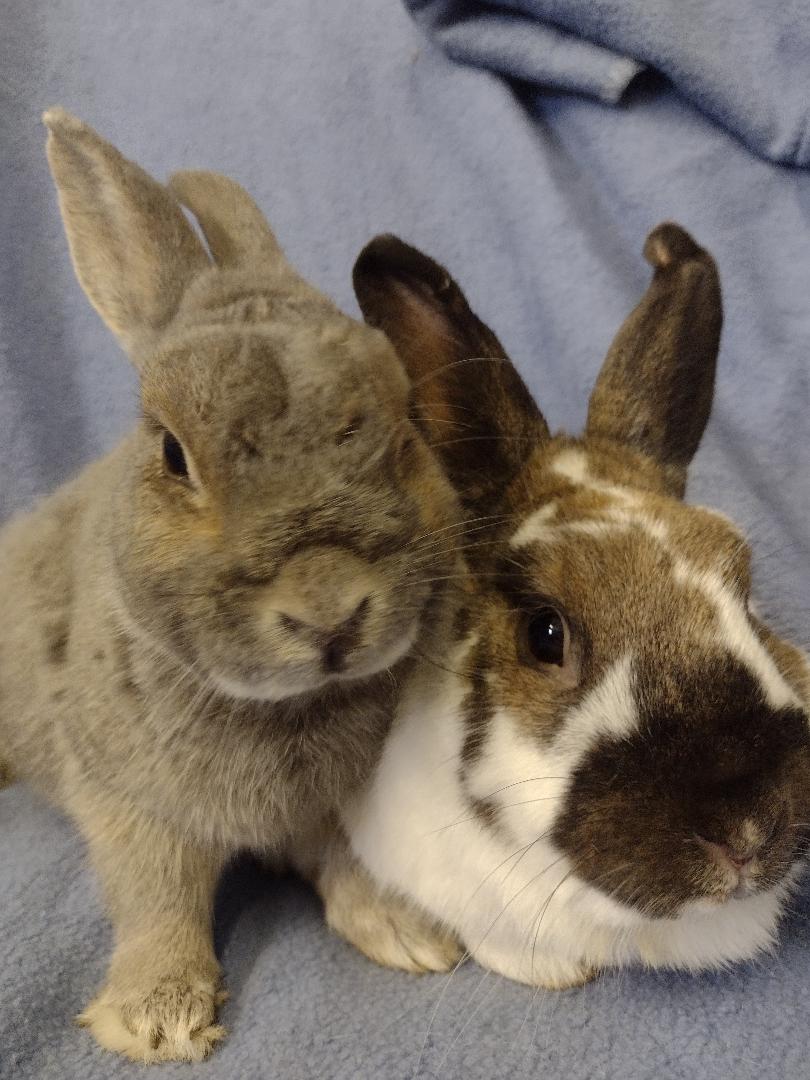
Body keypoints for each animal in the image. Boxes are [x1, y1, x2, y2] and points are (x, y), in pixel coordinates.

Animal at [0, 109, 463, 1061]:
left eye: (401, 427)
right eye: (174, 454)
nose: (330, 612)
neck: (279, 708)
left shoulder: (339, 809)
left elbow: (348, 865)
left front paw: (408, 934)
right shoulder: (128, 802)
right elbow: (156, 899)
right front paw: (157, 1017)